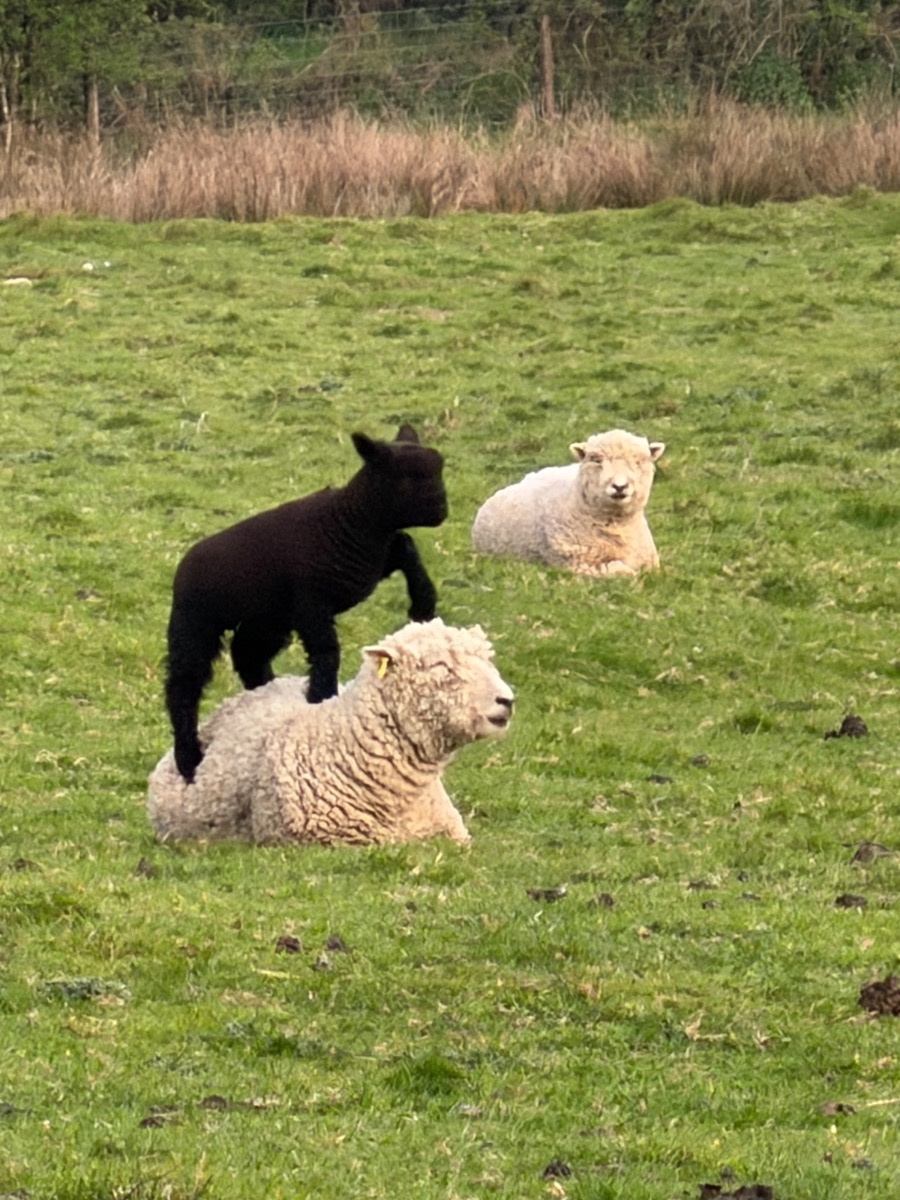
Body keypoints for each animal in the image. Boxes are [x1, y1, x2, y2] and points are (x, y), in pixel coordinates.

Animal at [164, 424, 447, 783]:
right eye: (408, 475)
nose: (442, 510)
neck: (353, 523)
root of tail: (182, 568)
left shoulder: (371, 566)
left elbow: (407, 547)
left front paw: (423, 603)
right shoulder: (312, 604)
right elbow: (326, 651)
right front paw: (321, 696)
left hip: (265, 620)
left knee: (247, 655)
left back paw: (266, 692)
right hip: (196, 625)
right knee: (183, 686)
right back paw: (187, 757)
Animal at [471, 428, 665, 577]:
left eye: (638, 461)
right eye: (596, 460)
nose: (619, 486)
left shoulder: (651, 565)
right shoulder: (578, 564)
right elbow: (624, 572)